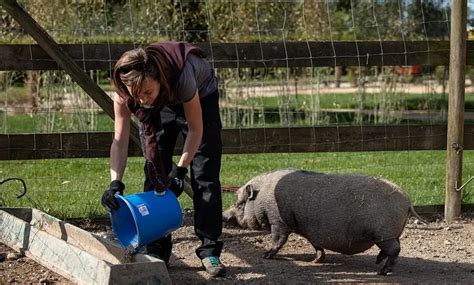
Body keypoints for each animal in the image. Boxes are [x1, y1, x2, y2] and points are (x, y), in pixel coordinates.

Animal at [223, 168, 426, 274]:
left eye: (240, 203)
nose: (224, 216)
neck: (262, 198)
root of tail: (407, 200)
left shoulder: (278, 221)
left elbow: (278, 240)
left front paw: (265, 255)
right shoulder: (308, 230)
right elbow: (316, 245)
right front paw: (316, 261)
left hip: (384, 235)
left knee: (395, 250)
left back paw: (381, 271)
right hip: (390, 234)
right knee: (392, 248)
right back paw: (377, 263)